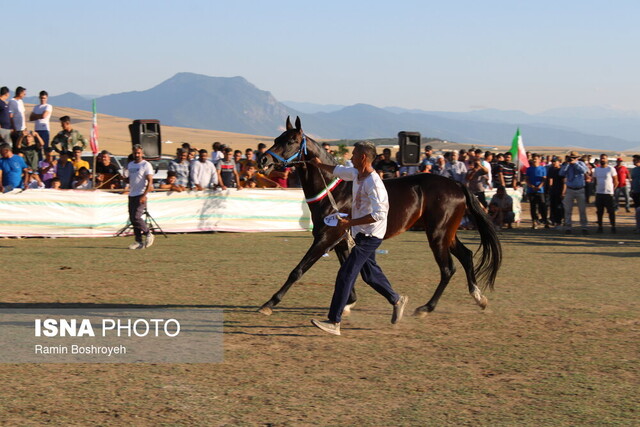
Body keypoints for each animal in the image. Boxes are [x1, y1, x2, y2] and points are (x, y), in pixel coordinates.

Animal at [258, 117, 502, 318]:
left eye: (290, 141)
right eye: (277, 138)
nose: (263, 160)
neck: (333, 191)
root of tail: (457, 184)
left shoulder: (326, 237)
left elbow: (298, 270)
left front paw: (269, 303)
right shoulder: (340, 240)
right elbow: (346, 270)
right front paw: (349, 303)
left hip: (438, 234)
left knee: (448, 269)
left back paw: (426, 307)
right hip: (445, 234)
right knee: (467, 256)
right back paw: (479, 298)